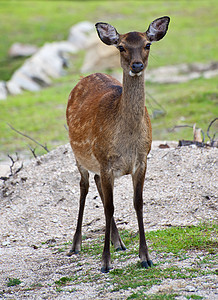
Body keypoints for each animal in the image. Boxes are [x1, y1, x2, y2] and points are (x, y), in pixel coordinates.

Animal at [66, 17, 170, 274]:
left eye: (147, 44)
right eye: (121, 46)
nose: (137, 65)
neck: (127, 141)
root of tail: (86, 76)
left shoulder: (142, 159)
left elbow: (138, 203)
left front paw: (145, 257)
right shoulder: (106, 161)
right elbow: (109, 207)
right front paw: (105, 262)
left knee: (96, 183)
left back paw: (119, 242)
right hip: (79, 154)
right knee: (84, 186)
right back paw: (76, 245)